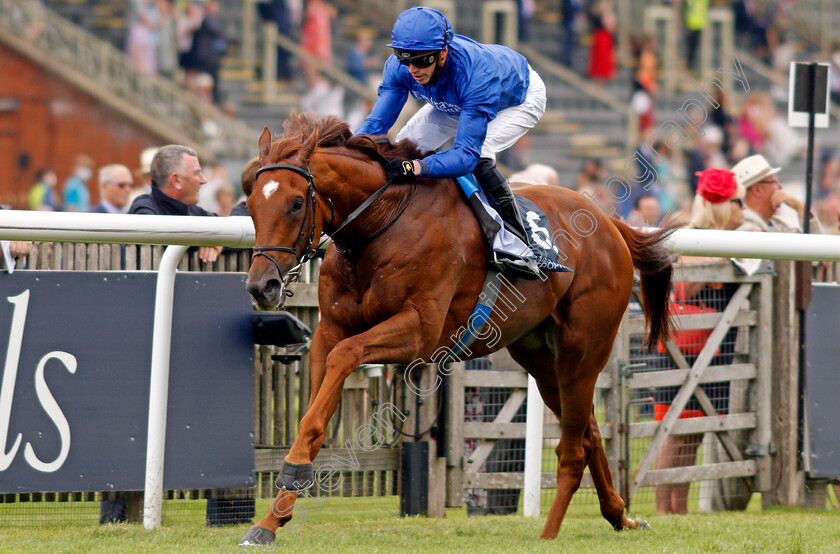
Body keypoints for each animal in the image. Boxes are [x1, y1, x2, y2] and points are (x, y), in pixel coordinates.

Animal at [240, 113, 672, 544]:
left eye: (297, 203)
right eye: (251, 203)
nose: (263, 286)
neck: (381, 224)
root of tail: (610, 223)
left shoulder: (418, 333)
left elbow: (343, 361)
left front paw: (286, 488)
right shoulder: (329, 331)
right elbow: (313, 414)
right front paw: (271, 520)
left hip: (583, 351)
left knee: (573, 447)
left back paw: (549, 532)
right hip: (540, 358)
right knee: (589, 433)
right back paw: (620, 516)